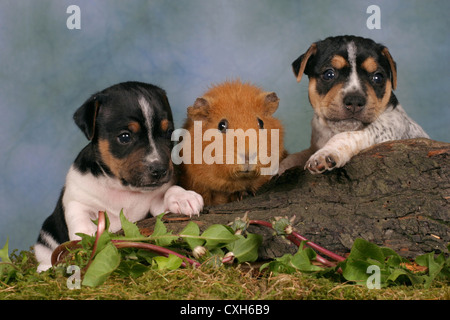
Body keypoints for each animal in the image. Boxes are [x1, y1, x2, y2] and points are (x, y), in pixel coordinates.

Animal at [34, 81, 203, 272]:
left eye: (168, 133)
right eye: (125, 137)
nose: (159, 170)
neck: (121, 188)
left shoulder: (155, 209)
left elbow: (169, 191)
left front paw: (184, 198)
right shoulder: (77, 200)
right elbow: (81, 220)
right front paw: (86, 241)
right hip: (46, 234)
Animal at [280, 35, 430, 175]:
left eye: (378, 77)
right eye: (329, 74)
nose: (354, 101)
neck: (332, 130)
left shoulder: (385, 131)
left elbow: (347, 135)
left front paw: (325, 153)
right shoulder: (313, 145)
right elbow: (297, 156)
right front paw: (281, 166)